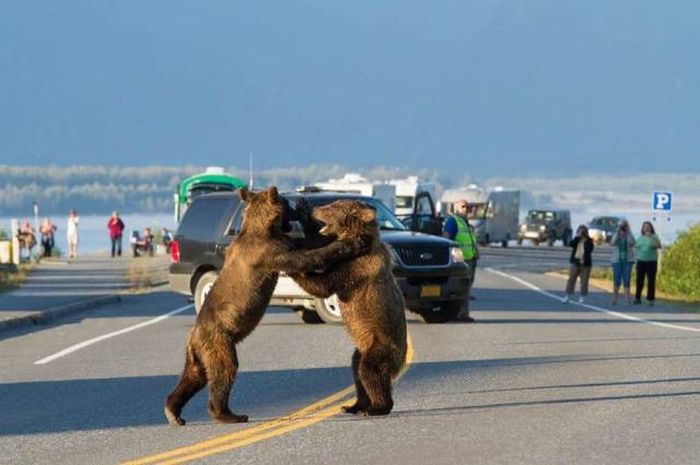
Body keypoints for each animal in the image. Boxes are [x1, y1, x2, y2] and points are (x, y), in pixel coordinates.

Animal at [167, 186, 370, 424]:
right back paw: (228, 414)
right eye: (286, 203)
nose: (295, 207)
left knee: (193, 377)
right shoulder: (271, 251)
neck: (264, 228)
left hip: (198, 354)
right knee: (223, 371)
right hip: (218, 341)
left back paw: (173, 411)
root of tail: (194, 335)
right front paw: (350, 243)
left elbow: (307, 244)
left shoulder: (281, 241)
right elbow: (307, 256)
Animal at [292, 198, 410, 416]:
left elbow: (324, 284)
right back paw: (354, 405)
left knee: (370, 371)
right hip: (362, 347)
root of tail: (400, 363)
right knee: (356, 369)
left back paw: (377, 407)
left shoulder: (356, 268)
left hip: (380, 345)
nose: (316, 208)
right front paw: (303, 210)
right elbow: (321, 247)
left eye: (332, 207)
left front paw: (294, 267)